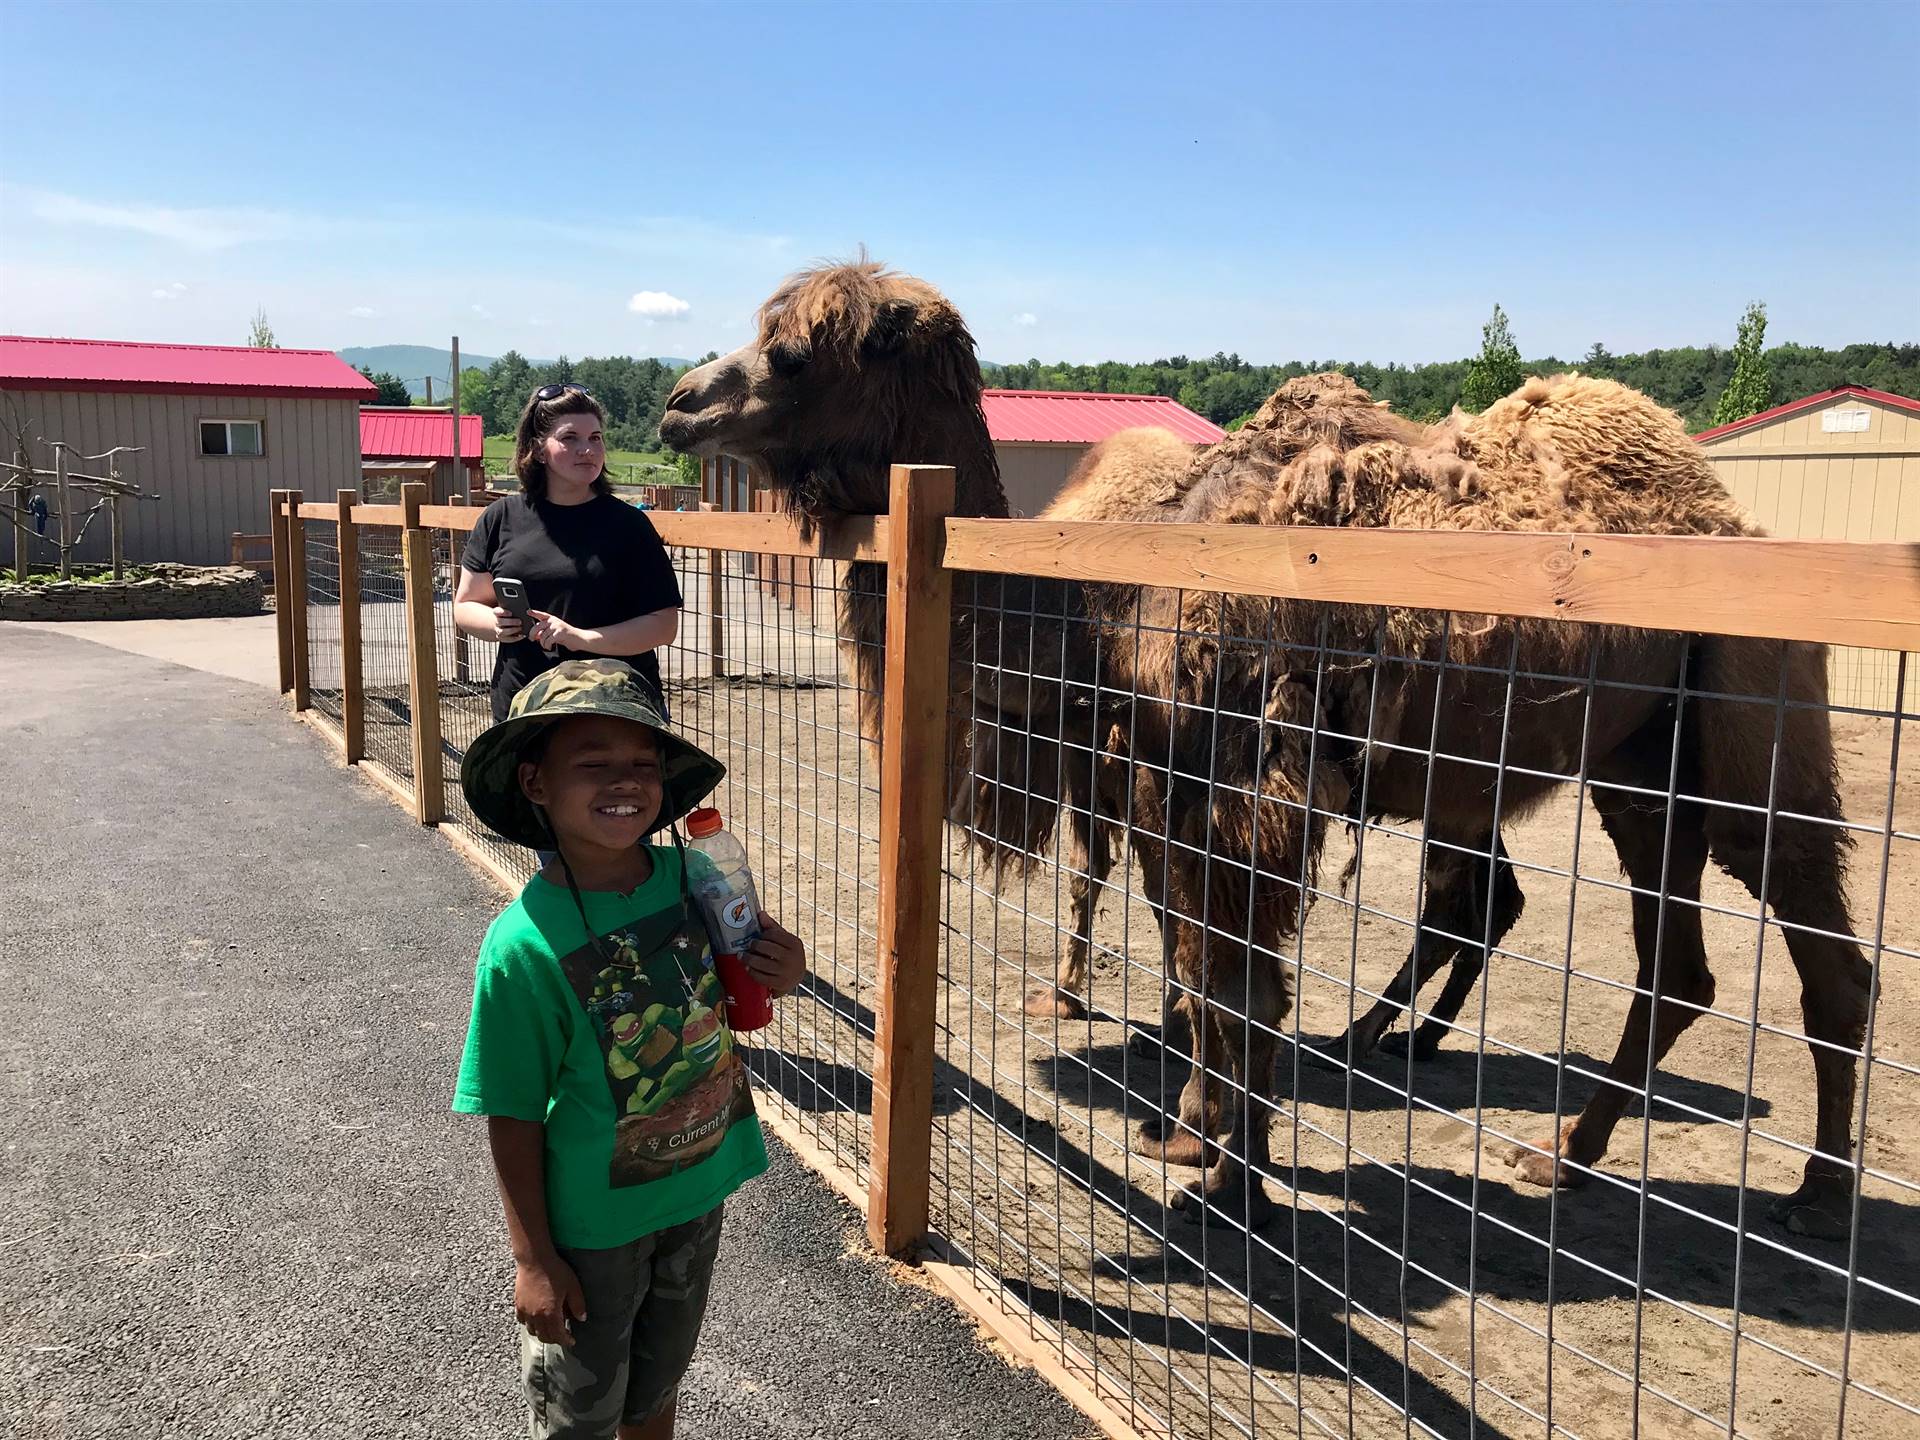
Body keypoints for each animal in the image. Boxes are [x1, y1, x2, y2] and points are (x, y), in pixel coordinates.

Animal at [664, 259, 1873, 1244]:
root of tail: (1732, 517)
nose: (680, 403)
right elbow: (1200, 966)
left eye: (792, 349)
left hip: (1751, 718)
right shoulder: (1166, 787)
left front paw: (1224, 1181)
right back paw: (1560, 1151)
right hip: (1638, 764)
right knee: (1670, 964)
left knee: (1821, 943)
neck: (1100, 621)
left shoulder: (1246, 790)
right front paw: (1194, 1138)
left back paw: (1815, 1191)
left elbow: (1237, 982)